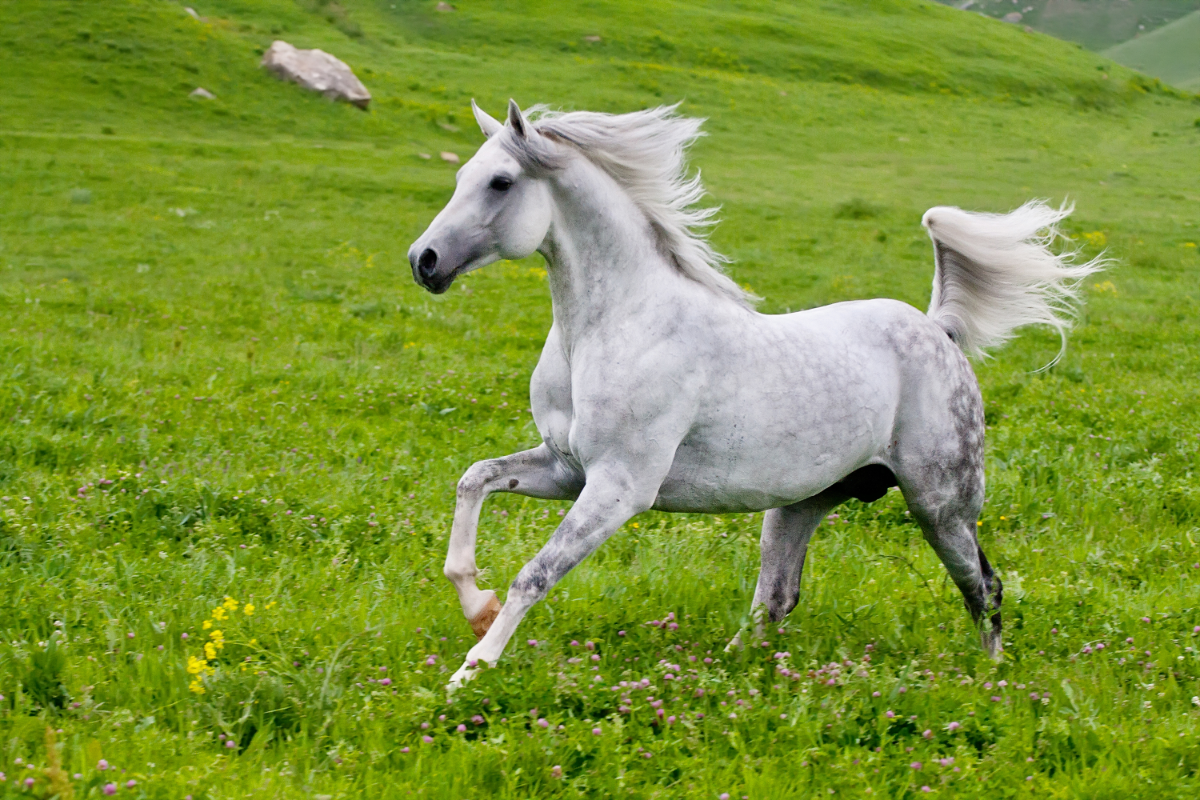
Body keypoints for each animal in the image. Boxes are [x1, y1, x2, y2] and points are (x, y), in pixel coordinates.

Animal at [408, 100, 1104, 690]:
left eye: (501, 183)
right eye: (463, 174)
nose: (424, 261)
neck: (615, 327)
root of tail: (938, 329)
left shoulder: (619, 487)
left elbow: (536, 573)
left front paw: (471, 669)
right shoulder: (565, 468)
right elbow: (475, 479)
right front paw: (474, 603)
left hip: (942, 505)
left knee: (984, 586)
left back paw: (992, 681)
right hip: (800, 505)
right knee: (777, 598)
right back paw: (723, 674)